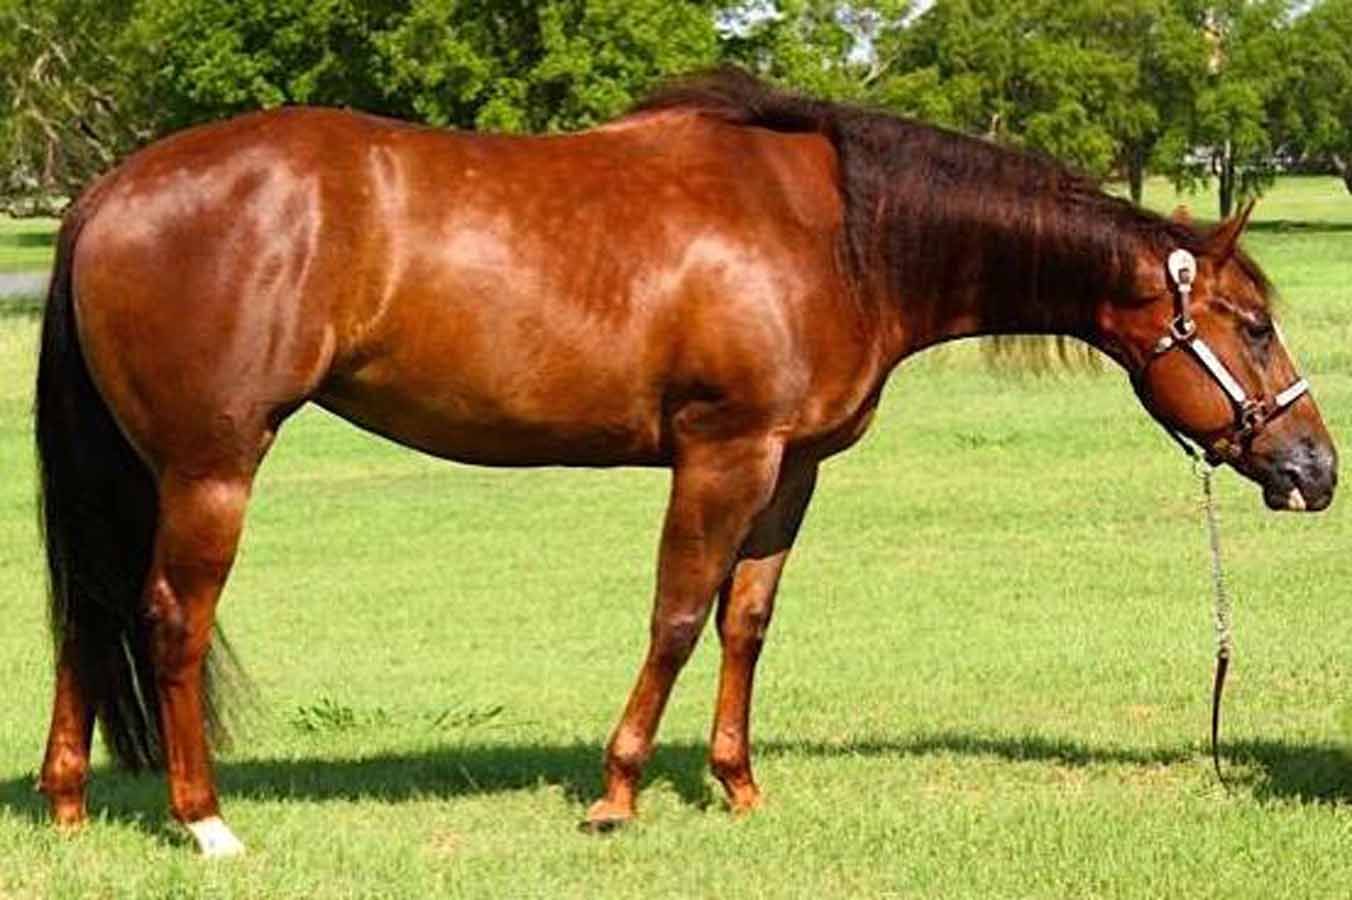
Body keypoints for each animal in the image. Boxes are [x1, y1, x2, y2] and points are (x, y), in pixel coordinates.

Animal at [33, 69, 1336, 856]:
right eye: (1250, 326)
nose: (1315, 467)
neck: (835, 232)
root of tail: (106, 190)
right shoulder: (721, 453)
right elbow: (672, 611)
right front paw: (615, 795)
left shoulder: (790, 466)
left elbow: (743, 621)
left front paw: (737, 782)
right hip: (210, 468)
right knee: (168, 620)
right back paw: (205, 824)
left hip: (137, 474)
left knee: (88, 614)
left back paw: (69, 806)